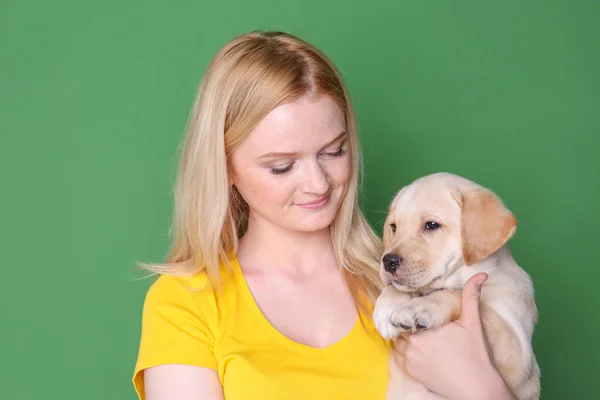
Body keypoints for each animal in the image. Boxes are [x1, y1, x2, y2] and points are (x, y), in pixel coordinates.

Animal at [372, 173, 540, 400]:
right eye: (394, 227)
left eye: (431, 225)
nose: (388, 262)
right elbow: (401, 288)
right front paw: (386, 307)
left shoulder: (519, 359)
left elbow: (458, 294)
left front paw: (420, 307)